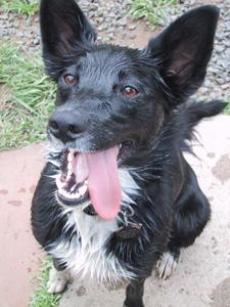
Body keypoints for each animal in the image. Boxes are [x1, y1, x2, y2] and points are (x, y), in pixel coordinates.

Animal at [31, 1, 226, 306]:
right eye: (69, 78)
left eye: (130, 90)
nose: (61, 125)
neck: (92, 212)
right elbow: (59, 260)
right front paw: (58, 276)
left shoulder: (139, 269)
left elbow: (134, 294)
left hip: (196, 212)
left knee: (178, 241)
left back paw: (168, 258)